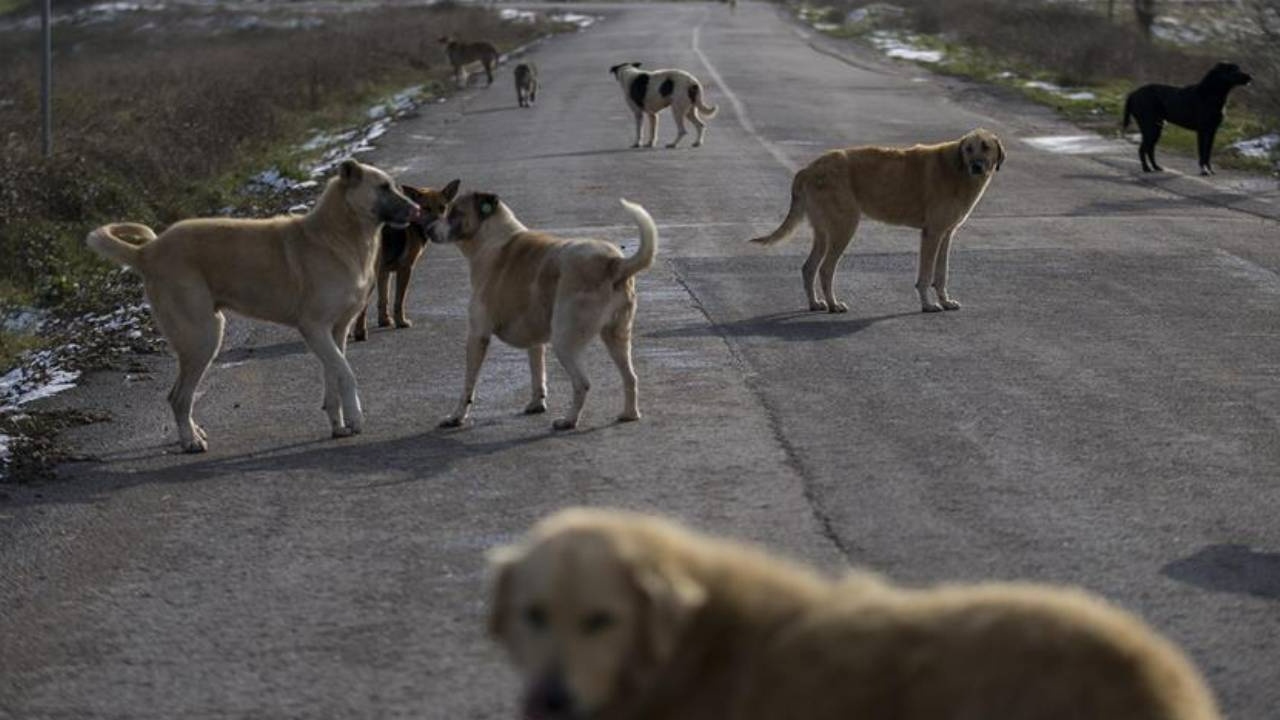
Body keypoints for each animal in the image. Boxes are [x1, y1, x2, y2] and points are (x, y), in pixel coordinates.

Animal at [86, 160, 424, 450]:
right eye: (383, 187)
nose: (418, 210)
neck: (339, 234)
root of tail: (147, 252)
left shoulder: (335, 331)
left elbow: (334, 377)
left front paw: (339, 424)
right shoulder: (314, 328)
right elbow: (347, 373)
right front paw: (355, 417)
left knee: (181, 396)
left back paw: (193, 434)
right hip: (203, 337)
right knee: (178, 397)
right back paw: (190, 441)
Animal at [427, 189, 655, 430]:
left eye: (455, 212)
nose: (428, 230)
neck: (491, 237)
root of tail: (614, 263)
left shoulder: (477, 336)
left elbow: (468, 385)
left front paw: (457, 416)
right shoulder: (534, 339)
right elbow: (537, 371)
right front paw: (537, 403)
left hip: (564, 341)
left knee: (582, 383)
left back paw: (569, 420)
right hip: (616, 336)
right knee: (630, 377)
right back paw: (630, 414)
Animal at [747, 128, 1008, 311]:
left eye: (985, 147)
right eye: (968, 149)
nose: (976, 167)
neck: (957, 169)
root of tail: (808, 169)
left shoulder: (946, 235)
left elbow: (941, 274)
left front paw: (945, 301)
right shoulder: (932, 234)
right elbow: (925, 276)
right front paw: (927, 305)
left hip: (824, 232)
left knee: (809, 268)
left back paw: (816, 304)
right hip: (844, 228)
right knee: (825, 269)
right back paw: (833, 305)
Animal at [1121, 61, 1249, 174]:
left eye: (1239, 68)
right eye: (1234, 70)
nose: (1250, 77)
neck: (1211, 93)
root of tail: (1133, 93)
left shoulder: (1212, 131)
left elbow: (1208, 153)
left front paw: (1210, 170)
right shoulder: (1202, 130)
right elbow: (1202, 153)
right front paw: (1204, 171)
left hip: (1156, 128)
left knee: (1149, 149)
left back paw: (1156, 167)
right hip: (1150, 127)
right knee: (1143, 149)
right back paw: (1146, 168)